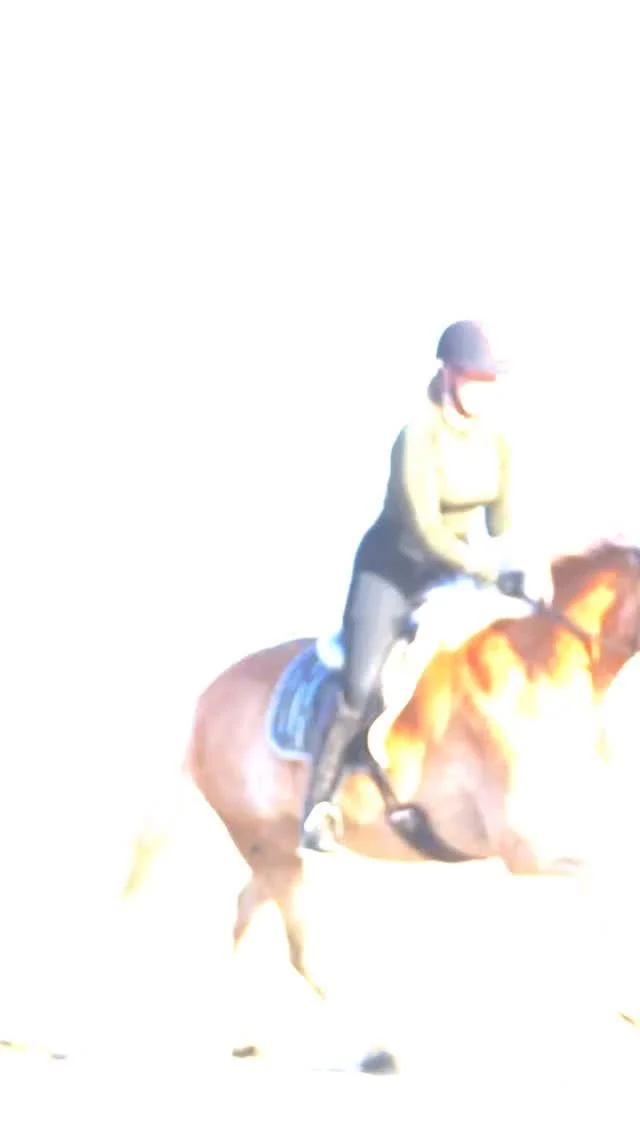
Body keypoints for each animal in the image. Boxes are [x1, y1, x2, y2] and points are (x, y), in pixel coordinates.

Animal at [126, 538, 640, 1070]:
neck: (542, 674)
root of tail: (204, 703)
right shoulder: (527, 850)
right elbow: (607, 879)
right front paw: (628, 1006)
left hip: (274, 846)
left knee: (244, 913)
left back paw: (246, 1037)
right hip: (268, 844)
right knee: (303, 951)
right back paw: (375, 1050)